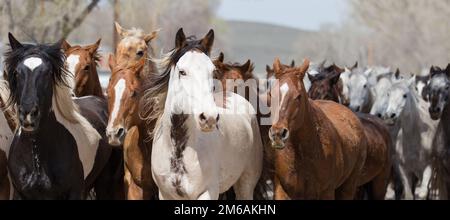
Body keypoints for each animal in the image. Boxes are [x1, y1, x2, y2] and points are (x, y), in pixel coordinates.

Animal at [3, 33, 124, 200]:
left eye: (48, 73)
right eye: (16, 72)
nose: (28, 114)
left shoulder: (75, 192)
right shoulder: (20, 194)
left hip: (104, 184)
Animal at [144, 28, 264, 199]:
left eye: (212, 72)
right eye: (182, 72)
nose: (209, 118)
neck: (179, 150)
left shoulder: (208, 192)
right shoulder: (165, 194)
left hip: (245, 184)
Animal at [268, 58, 368, 199]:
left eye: (298, 96)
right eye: (271, 94)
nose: (278, 133)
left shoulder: (327, 192)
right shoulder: (282, 190)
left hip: (349, 185)